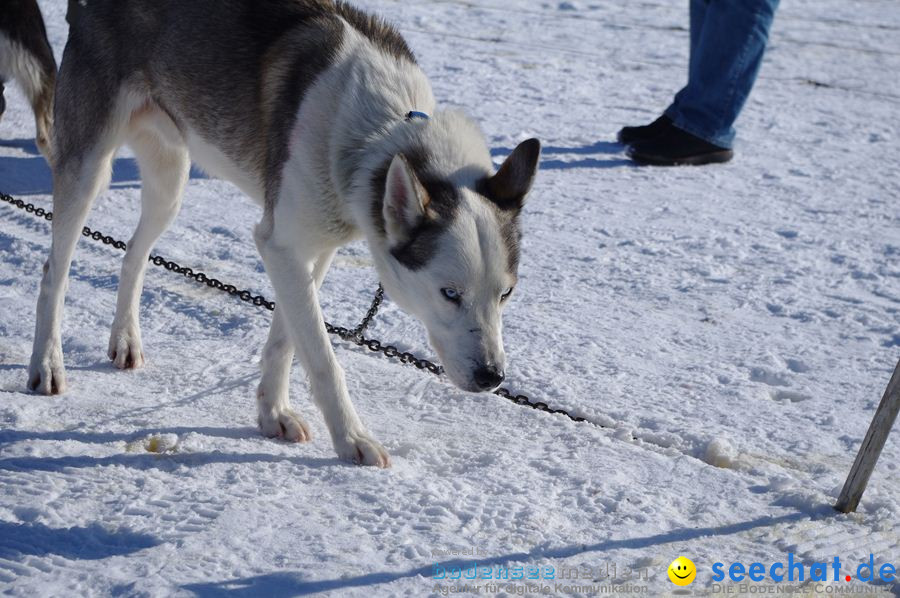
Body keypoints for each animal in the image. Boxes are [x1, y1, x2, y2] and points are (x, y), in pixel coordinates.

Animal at [28, 1, 540, 468]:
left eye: (506, 294)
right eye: (449, 293)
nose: (492, 377)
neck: (382, 130)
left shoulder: (307, 248)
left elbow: (287, 340)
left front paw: (272, 413)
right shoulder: (282, 244)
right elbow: (322, 357)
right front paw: (352, 439)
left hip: (169, 182)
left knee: (134, 253)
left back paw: (125, 341)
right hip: (88, 169)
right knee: (55, 268)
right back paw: (46, 366)